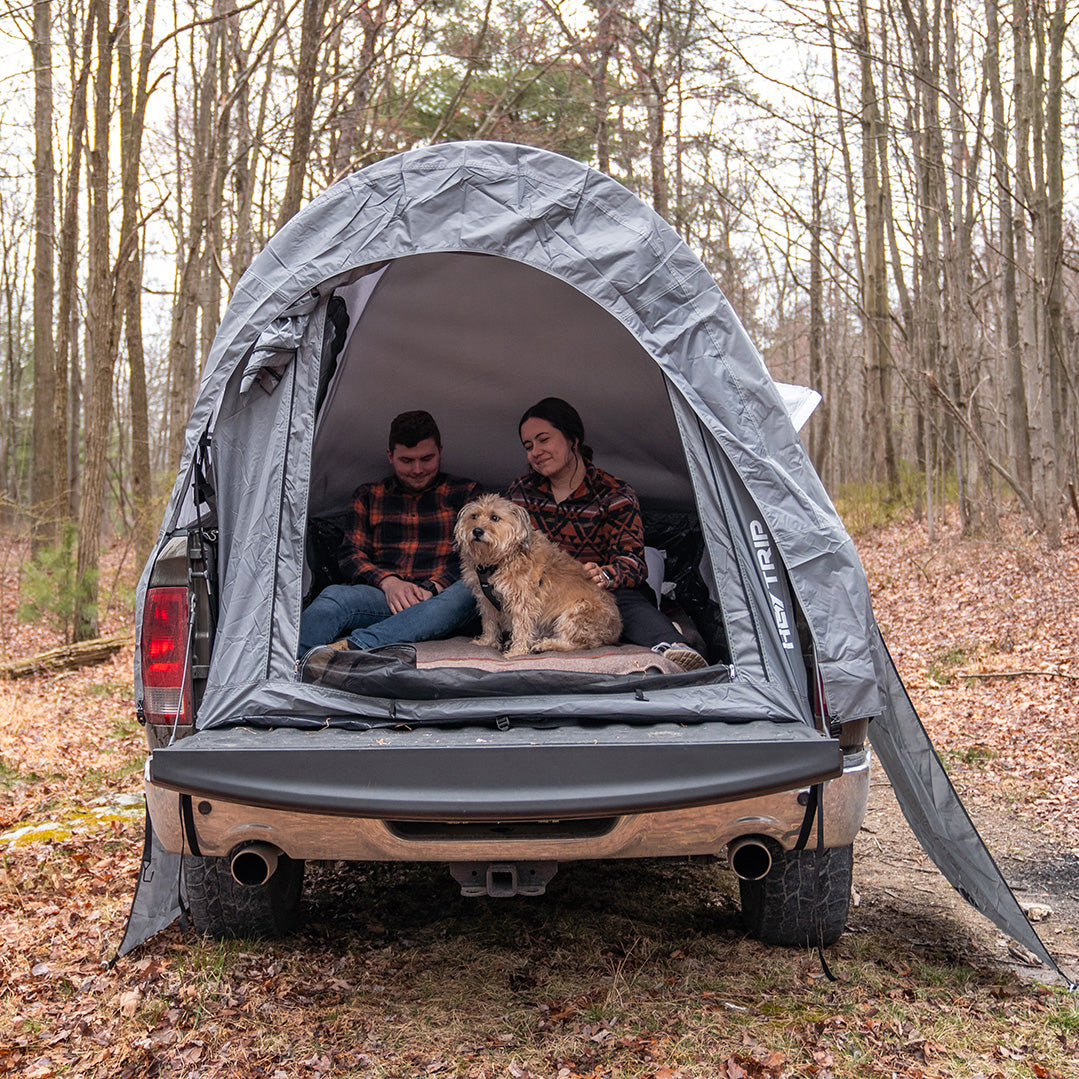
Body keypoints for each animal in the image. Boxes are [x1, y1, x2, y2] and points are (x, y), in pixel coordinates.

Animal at [455, 494, 625, 651]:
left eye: (494, 517)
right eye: (474, 516)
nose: (477, 531)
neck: (499, 560)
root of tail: (615, 632)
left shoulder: (523, 601)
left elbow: (521, 627)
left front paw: (517, 651)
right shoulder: (486, 600)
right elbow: (489, 622)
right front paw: (487, 642)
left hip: (577, 612)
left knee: (575, 643)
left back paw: (545, 645)